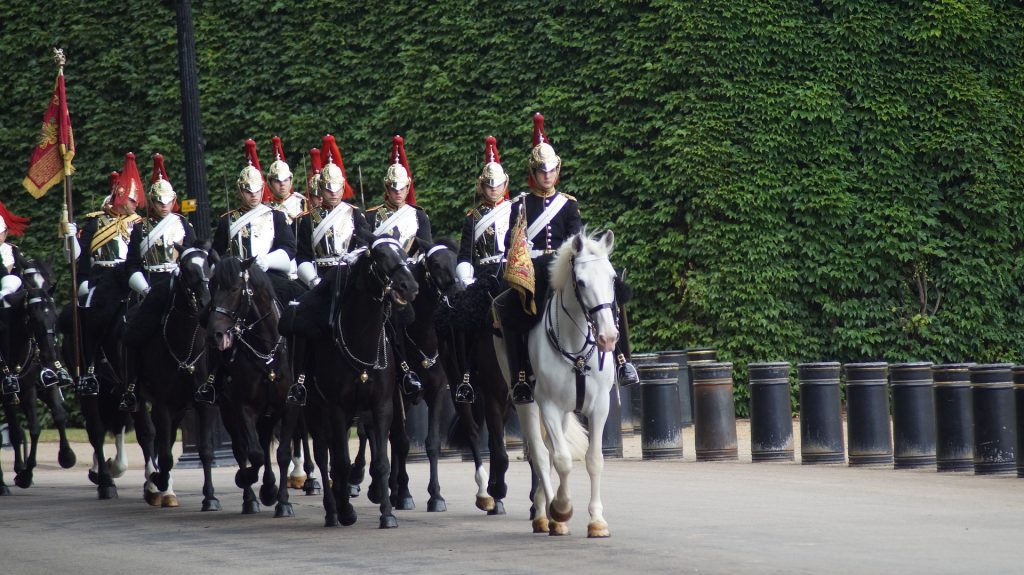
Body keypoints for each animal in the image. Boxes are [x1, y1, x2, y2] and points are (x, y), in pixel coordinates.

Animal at [134, 248, 218, 507]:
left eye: (209, 265)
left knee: (165, 438)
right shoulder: (162, 403)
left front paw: (210, 496)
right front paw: (156, 480)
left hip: (179, 407)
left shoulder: (202, 403)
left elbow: (206, 451)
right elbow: (165, 456)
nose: (205, 302)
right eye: (186, 269)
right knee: (147, 435)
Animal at [301, 235, 417, 527]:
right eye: (380, 255)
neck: (361, 341)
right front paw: (345, 510)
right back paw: (332, 510)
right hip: (314, 410)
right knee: (322, 455)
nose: (409, 286)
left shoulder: (382, 405)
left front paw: (387, 514)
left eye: (404, 253)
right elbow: (339, 461)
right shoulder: (336, 408)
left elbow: (382, 460)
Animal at [493, 227, 614, 532]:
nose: (608, 337)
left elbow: (594, 459)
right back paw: (545, 513)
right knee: (539, 452)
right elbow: (561, 459)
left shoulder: (599, 406)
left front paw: (597, 520)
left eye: (612, 278)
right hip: (526, 402)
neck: (577, 348)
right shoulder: (548, 405)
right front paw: (560, 507)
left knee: (546, 451)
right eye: (581, 282)